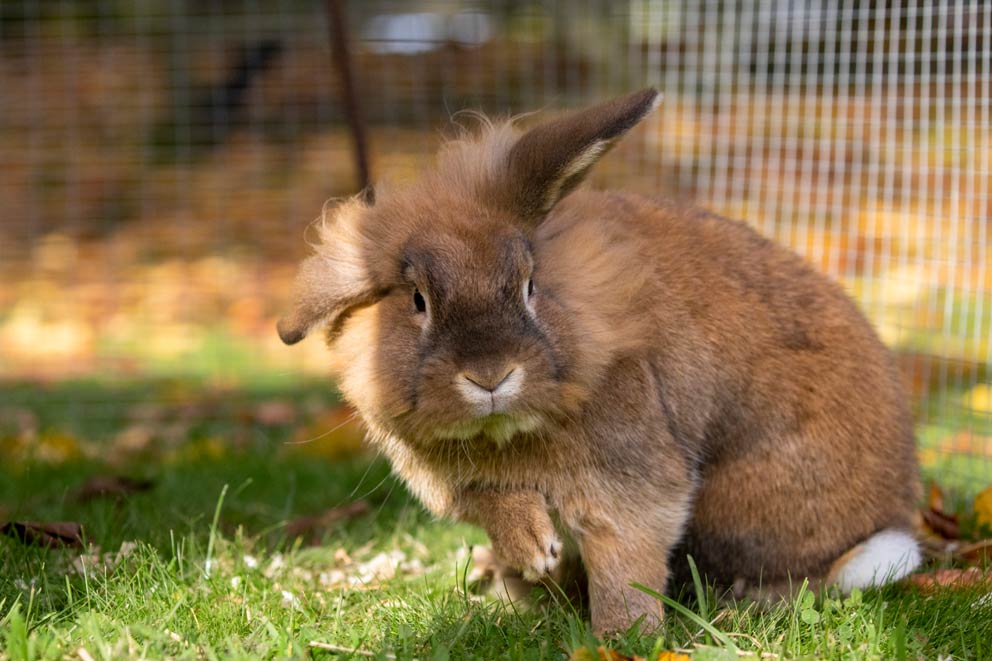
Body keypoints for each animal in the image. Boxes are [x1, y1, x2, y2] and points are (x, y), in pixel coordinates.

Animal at [277, 88, 922, 634]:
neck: (505, 433)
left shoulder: (634, 483)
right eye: (417, 300)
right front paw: (534, 554)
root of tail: (894, 505)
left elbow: (626, 559)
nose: (490, 376)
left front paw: (622, 637)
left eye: (529, 284)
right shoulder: (460, 483)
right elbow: (498, 503)